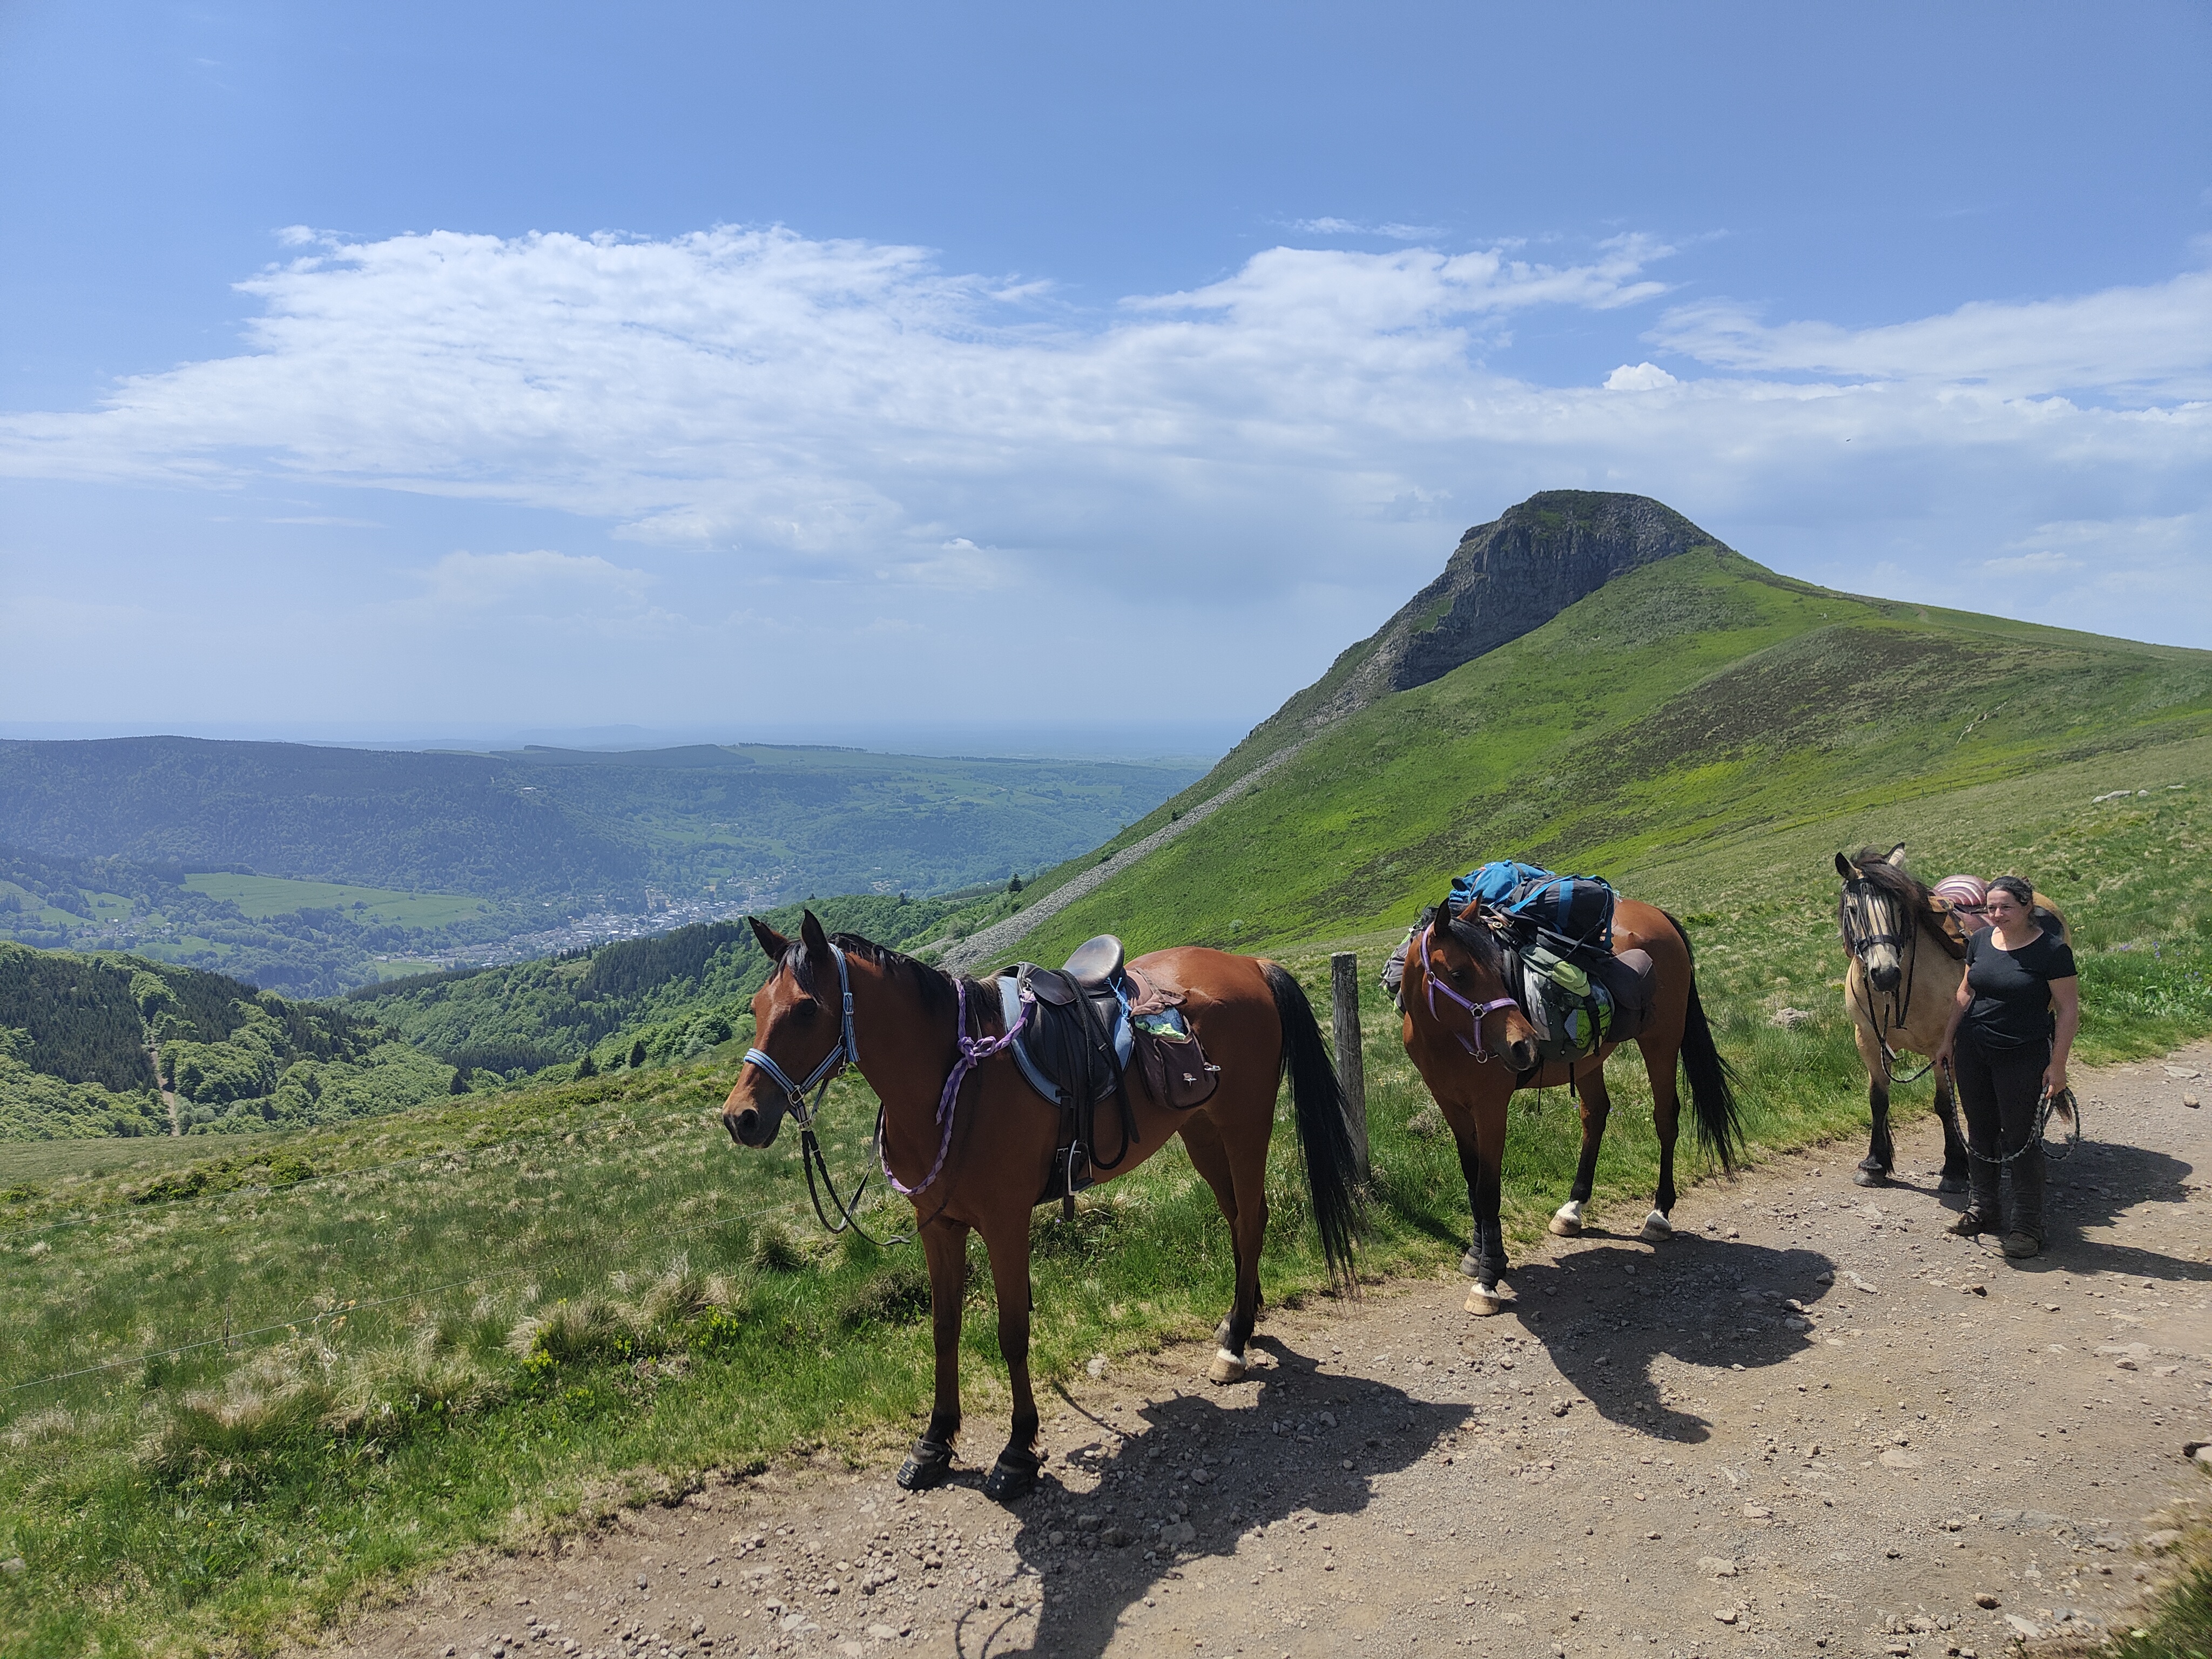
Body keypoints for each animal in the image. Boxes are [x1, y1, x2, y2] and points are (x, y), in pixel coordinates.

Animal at [721, 911, 1363, 1504]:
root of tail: (1251, 965)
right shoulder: (938, 1227)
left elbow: (1012, 1331)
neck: (953, 1081)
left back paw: (1235, 1345)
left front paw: (1017, 1451)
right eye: (756, 1007)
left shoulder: (1005, 1225)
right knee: (1239, 1220)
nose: (740, 1118)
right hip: (1201, 1132)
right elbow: (944, 1327)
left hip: (1243, 1126)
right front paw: (935, 1441)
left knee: (1251, 1220)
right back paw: (1239, 1321)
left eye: (807, 1009)